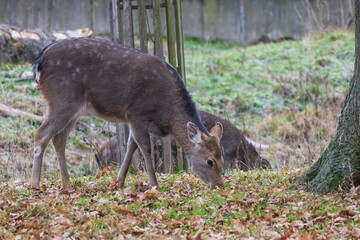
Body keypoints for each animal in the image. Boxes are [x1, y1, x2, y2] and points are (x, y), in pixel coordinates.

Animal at [31, 38, 222, 191]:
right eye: (210, 161)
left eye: (223, 158)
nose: (219, 185)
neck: (165, 113)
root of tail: (39, 62)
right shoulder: (136, 113)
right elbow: (145, 147)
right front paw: (154, 184)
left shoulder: (135, 121)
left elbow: (131, 146)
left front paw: (119, 182)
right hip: (62, 99)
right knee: (41, 134)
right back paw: (35, 184)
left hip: (74, 110)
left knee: (59, 139)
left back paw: (67, 184)